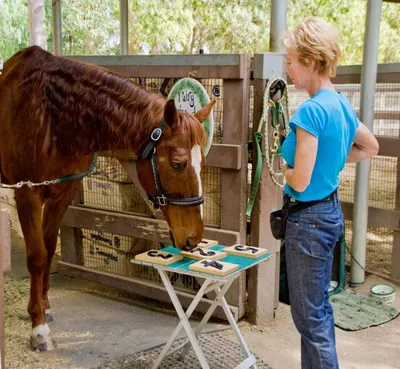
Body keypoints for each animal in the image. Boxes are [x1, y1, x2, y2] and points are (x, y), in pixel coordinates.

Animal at [0, 46, 216, 350]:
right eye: (177, 164)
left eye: (202, 163)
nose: (194, 237)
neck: (51, 117)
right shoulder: (27, 193)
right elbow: (38, 257)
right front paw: (38, 327)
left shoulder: (62, 194)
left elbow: (49, 246)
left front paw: (44, 306)